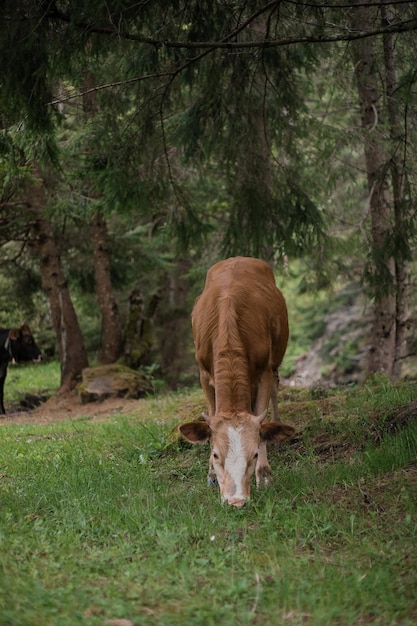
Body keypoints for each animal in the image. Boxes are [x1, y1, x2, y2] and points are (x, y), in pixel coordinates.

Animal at [177, 256, 294, 504]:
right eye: (215, 454)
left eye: (255, 454)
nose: (236, 500)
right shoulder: (203, 373)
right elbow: (212, 413)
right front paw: (211, 473)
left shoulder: (264, 370)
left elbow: (261, 413)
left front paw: (264, 474)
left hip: (276, 358)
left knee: (276, 387)